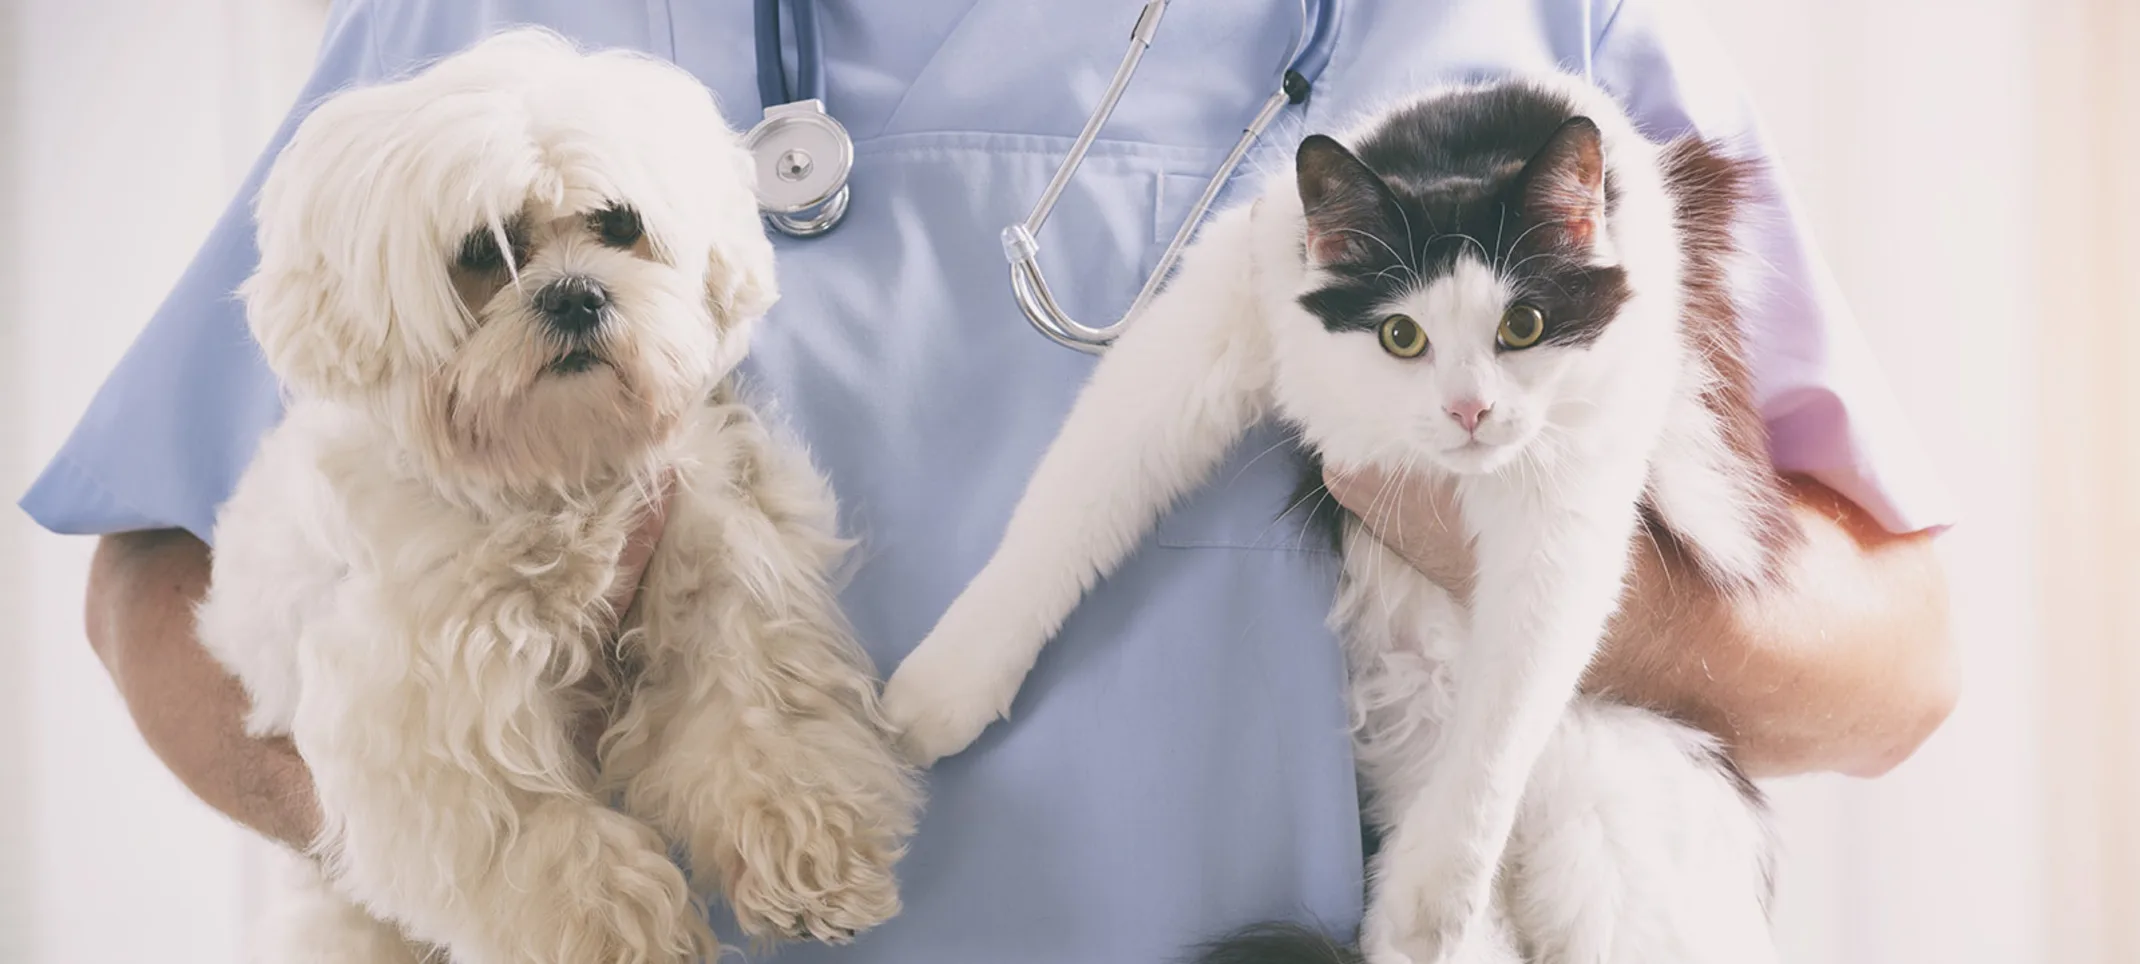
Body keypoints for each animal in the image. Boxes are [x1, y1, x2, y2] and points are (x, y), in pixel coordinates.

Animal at [204, 30, 924, 964]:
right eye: (484, 250)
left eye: (620, 224)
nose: (575, 293)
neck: (555, 476)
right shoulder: (434, 715)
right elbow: (543, 846)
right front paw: (620, 936)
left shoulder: (719, 573)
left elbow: (758, 725)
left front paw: (808, 850)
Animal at [877, 73, 1797, 964]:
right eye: (1401, 336)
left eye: (1524, 325)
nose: (1469, 411)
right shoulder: (1224, 313)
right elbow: (1069, 503)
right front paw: (941, 691)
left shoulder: (1569, 494)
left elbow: (1506, 712)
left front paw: (1429, 896)